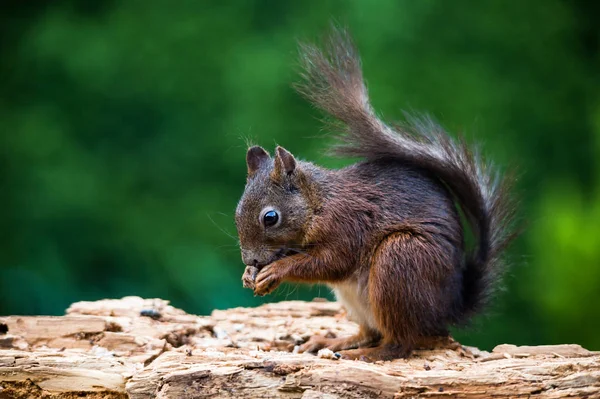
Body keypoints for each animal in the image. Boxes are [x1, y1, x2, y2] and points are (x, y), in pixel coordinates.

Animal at [234, 26, 516, 360]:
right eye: (237, 211)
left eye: (270, 217)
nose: (250, 259)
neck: (319, 203)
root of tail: (448, 310)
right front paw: (248, 275)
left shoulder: (347, 227)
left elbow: (329, 262)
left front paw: (274, 272)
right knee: (370, 333)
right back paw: (333, 342)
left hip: (399, 260)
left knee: (399, 343)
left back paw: (365, 355)